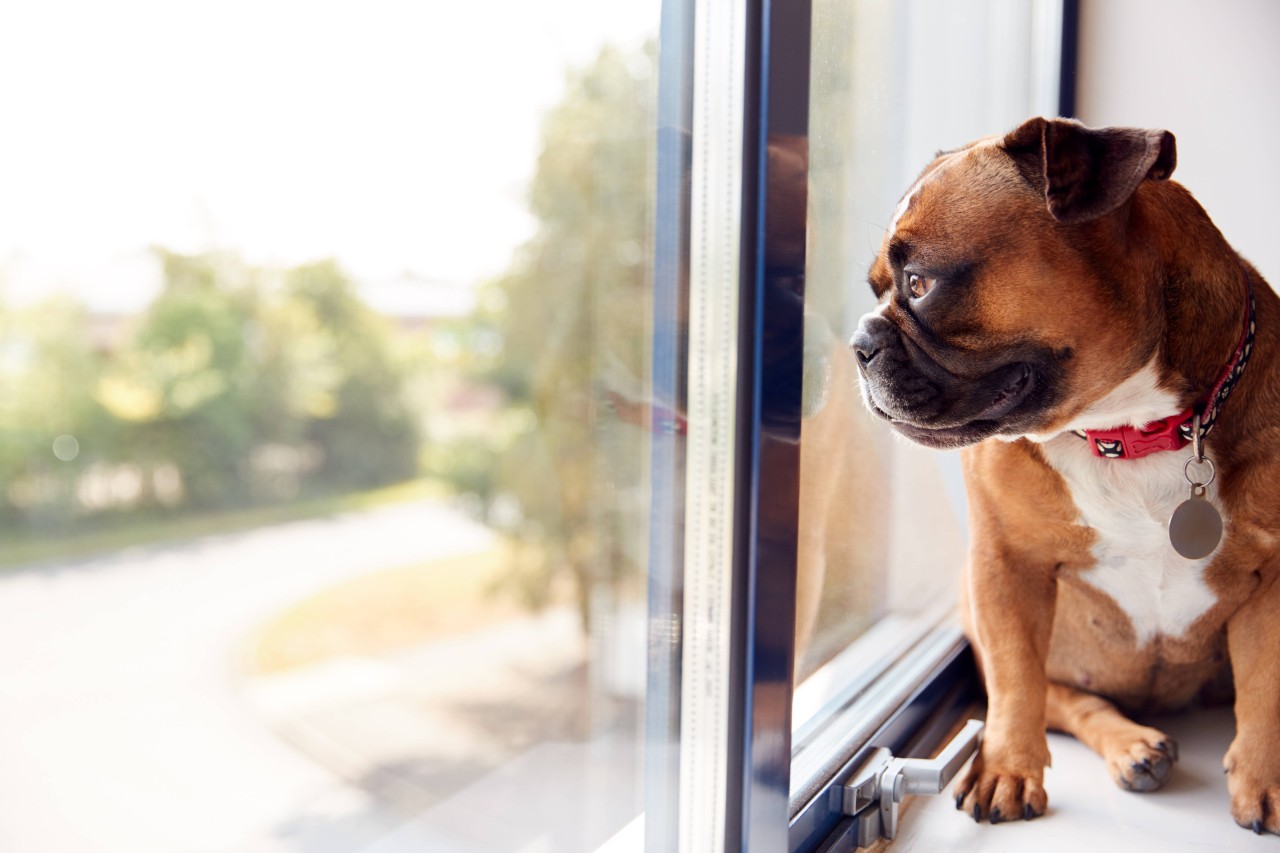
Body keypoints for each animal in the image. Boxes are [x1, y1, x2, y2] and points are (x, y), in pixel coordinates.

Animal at [849, 116, 1280, 835]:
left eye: (920, 285)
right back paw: (1134, 746)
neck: (1127, 430)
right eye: (879, 287)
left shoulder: (1275, 581)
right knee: (1062, 697)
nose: (859, 343)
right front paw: (1005, 768)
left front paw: (1265, 779)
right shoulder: (1004, 566)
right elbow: (1018, 679)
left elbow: (1266, 689)